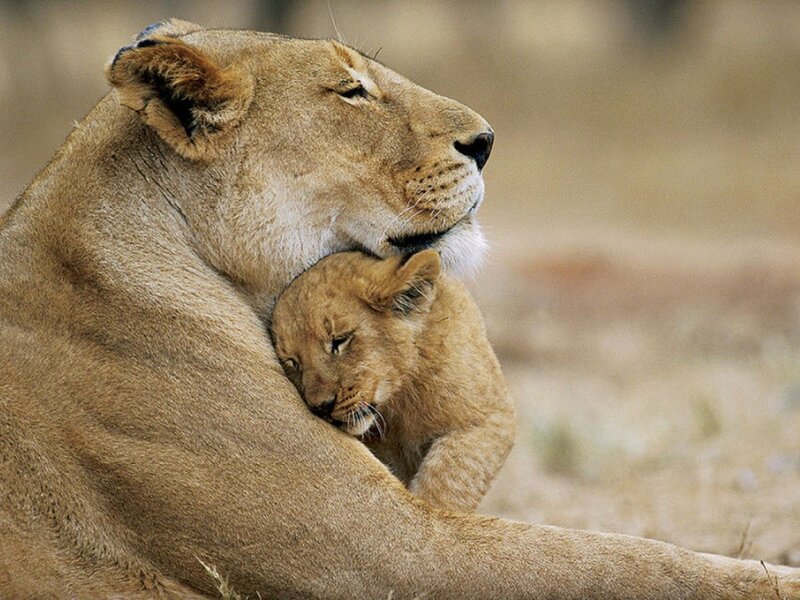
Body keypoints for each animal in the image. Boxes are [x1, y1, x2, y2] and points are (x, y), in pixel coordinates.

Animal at [270, 249, 516, 512]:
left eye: (339, 340)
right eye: (292, 362)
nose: (321, 407)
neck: (398, 402)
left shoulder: (491, 417)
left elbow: (450, 478)